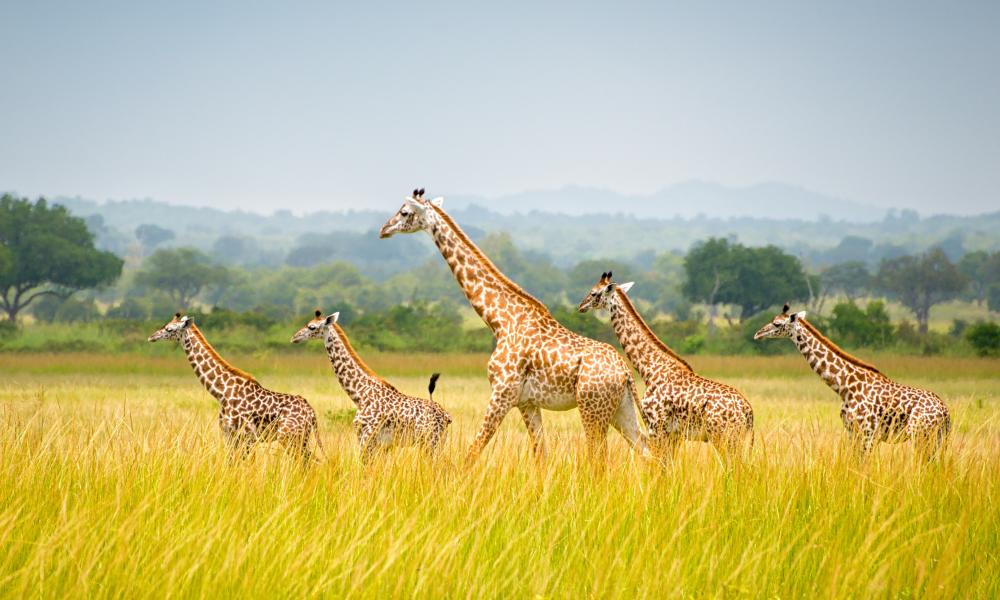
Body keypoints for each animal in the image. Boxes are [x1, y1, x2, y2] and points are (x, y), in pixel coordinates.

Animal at [148, 314, 322, 460]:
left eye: (169, 329)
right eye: (165, 325)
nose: (152, 337)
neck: (222, 392)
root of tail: (312, 414)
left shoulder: (245, 436)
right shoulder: (230, 435)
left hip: (289, 436)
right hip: (300, 437)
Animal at [292, 310, 452, 460]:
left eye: (311, 327)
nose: (294, 337)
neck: (360, 394)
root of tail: (446, 416)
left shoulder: (367, 437)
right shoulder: (381, 444)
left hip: (430, 441)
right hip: (437, 441)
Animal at [378, 190, 644, 462]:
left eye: (404, 212)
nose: (384, 229)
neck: (500, 321)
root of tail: (625, 371)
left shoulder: (502, 392)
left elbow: (473, 451)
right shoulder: (527, 402)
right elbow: (540, 455)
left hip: (592, 408)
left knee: (599, 458)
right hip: (619, 409)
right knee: (646, 450)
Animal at [580, 274, 752, 460]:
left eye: (594, 293)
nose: (581, 306)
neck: (649, 369)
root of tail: (748, 411)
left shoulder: (656, 427)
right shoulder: (674, 434)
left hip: (723, 437)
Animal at [752, 304, 948, 460]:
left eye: (777, 324)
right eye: (773, 320)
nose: (757, 334)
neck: (844, 386)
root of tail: (945, 412)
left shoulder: (869, 434)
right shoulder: (852, 432)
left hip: (921, 435)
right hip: (935, 439)